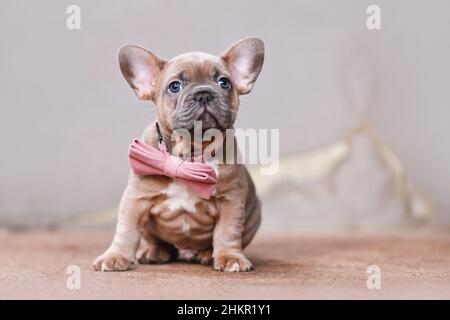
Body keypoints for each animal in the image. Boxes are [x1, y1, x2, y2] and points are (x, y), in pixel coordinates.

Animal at [93, 37, 266, 272]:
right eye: (175, 86)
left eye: (224, 82)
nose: (204, 93)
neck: (189, 154)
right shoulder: (135, 199)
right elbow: (126, 230)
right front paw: (115, 256)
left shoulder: (231, 200)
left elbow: (227, 231)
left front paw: (230, 257)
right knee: (154, 240)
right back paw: (154, 251)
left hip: (254, 215)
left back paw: (206, 254)